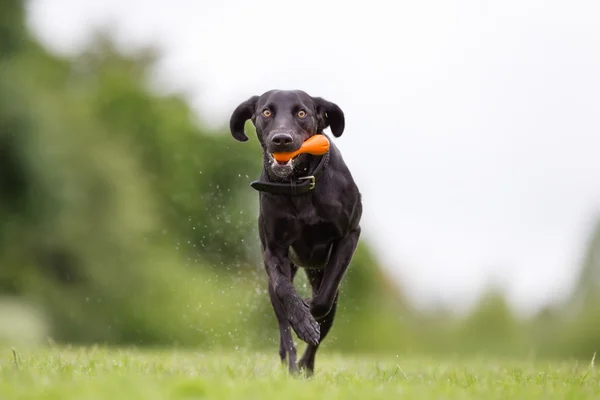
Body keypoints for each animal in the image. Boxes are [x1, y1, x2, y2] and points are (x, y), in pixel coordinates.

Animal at [229, 90, 360, 376]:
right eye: (266, 112)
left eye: (302, 112)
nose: (281, 139)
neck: (299, 185)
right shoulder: (274, 249)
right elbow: (284, 289)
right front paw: (301, 317)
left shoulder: (349, 234)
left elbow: (322, 302)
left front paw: (310, 311)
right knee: (285, 331)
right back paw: (292, 365)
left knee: (322, 323)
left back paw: (305, 366)